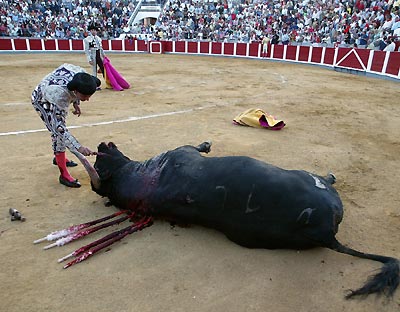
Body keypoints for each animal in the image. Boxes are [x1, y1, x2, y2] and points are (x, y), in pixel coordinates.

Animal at [36, 141, 398, 300]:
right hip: (310, 180)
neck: (139, 178)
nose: (102, 143)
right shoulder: (183, 150)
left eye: (102, 158)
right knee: (325, 179)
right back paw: (331, 175)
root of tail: (327, 234)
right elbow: (198, 146)